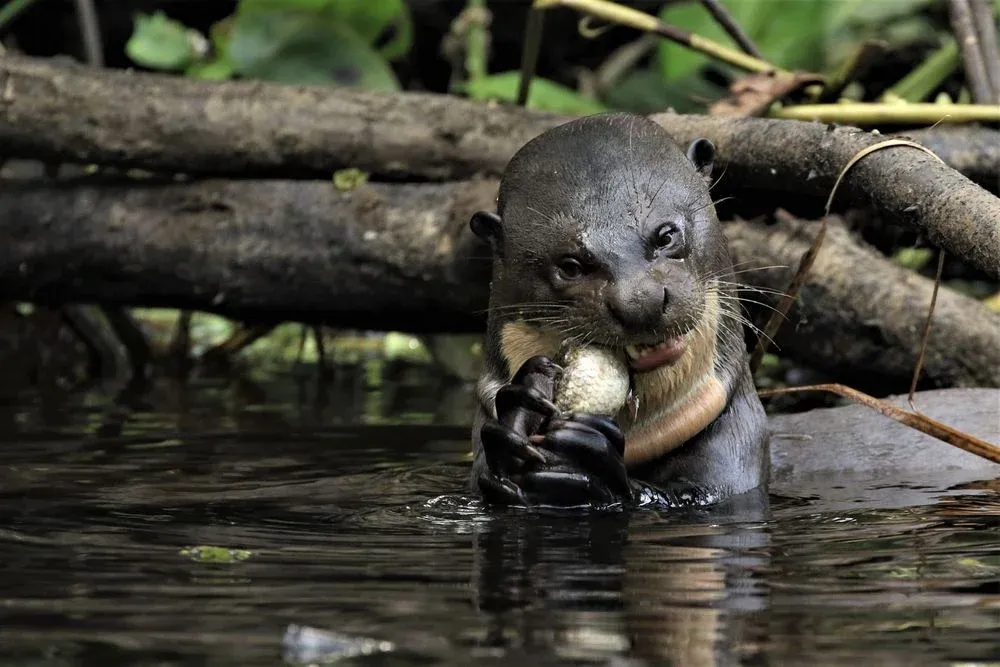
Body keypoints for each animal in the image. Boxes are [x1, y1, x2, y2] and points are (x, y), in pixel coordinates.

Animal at [470, 112, 772, 508]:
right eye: (570, 266)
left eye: (666, 235)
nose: (641, 302)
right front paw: (519, 408)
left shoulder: (733, 462)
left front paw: (590, 457)